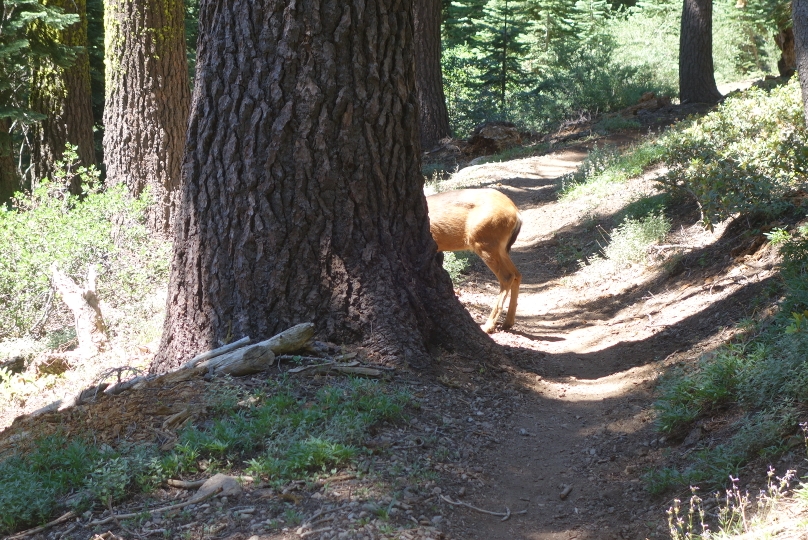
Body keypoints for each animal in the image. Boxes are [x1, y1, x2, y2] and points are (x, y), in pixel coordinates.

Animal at [422, 189, 524, 334]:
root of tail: (516, 213)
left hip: (484, 240)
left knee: (507, 276)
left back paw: (488, 326)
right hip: (499, 247)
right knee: (517, 274)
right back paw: (508, 322)